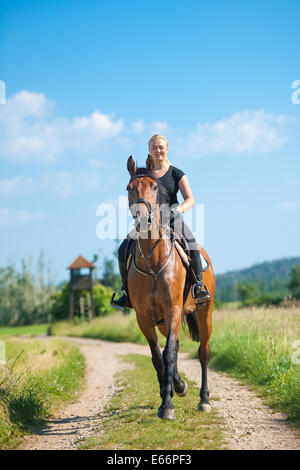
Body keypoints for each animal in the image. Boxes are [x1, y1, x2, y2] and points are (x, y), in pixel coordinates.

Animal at [125, 156, 214, 420]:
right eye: (129, 188)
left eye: (154, 187)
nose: (142, 217)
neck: (153, 261)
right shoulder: (144, 317)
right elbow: (159, 356)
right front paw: (172, 390)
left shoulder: (173, 310)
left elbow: (168, 355)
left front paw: (167, 405)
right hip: (163, 322)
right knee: (173, 347)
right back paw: (177, 385)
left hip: (204, 313)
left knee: (203, 352)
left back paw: (203, 399)